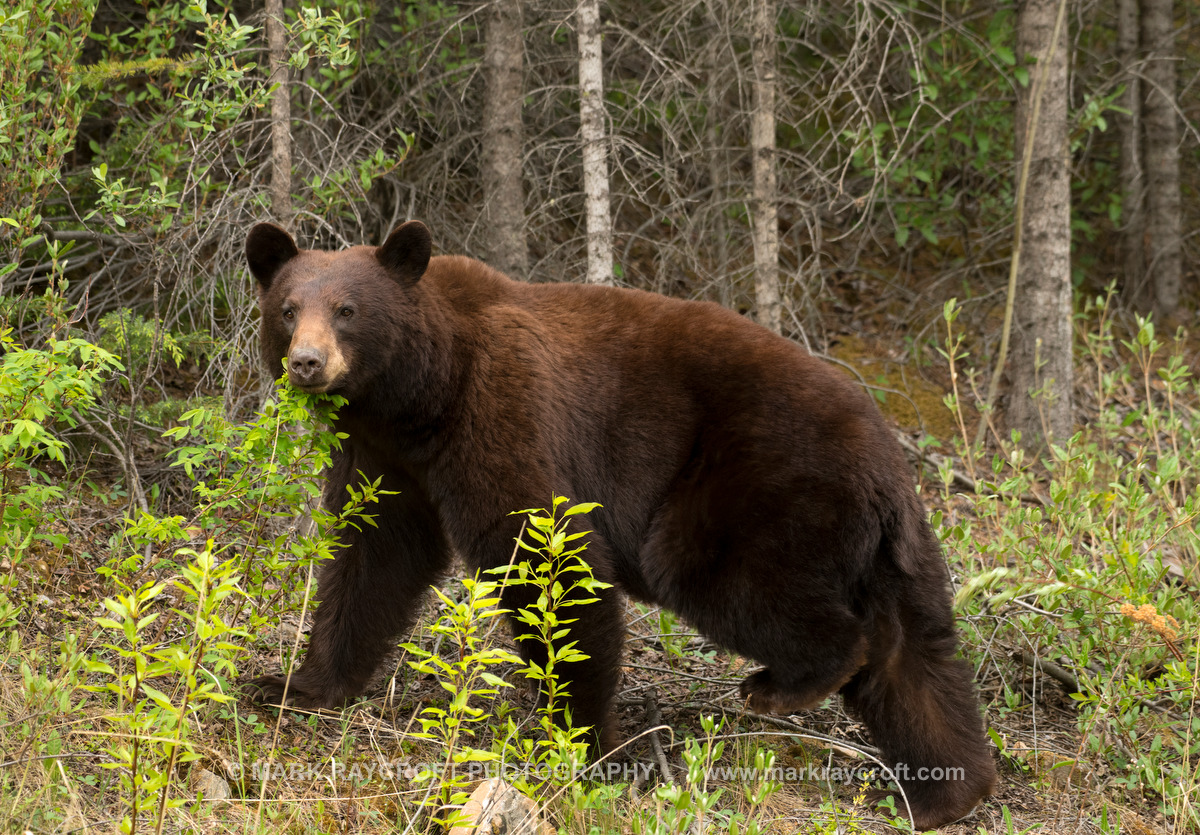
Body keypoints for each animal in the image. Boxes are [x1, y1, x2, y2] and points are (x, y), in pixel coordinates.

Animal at [241, 220, 993, 830]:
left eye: (348, 311)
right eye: (287, 310)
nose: (307, 362)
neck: (420, 393)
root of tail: (889, 464)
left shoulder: (501, 410)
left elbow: (545, 557)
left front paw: (581, 743)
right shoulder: (383, 453)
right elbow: (372, 556)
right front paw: (294, 686)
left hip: (754, 488)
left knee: (748, 588)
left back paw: (781, 685)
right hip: (883, 552)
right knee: (916, 657)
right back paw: (942, 793)